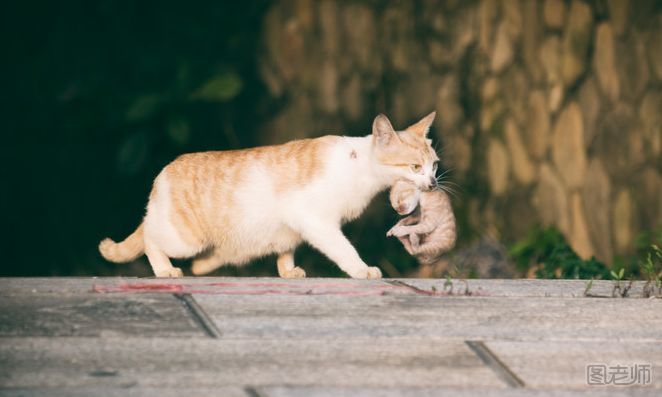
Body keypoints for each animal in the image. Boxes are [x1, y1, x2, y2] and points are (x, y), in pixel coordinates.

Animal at [98, 112, 440, 278]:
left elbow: (286, 249)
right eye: (415, 166)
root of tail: (164, 173)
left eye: (434, 164)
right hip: (183, 238)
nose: (434, 182)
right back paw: (165, 270)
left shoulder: (293, 226)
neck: (359, 167)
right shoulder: (316, 220)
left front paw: (287, 271)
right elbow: (344, 250)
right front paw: (361, 269)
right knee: (149, 238)